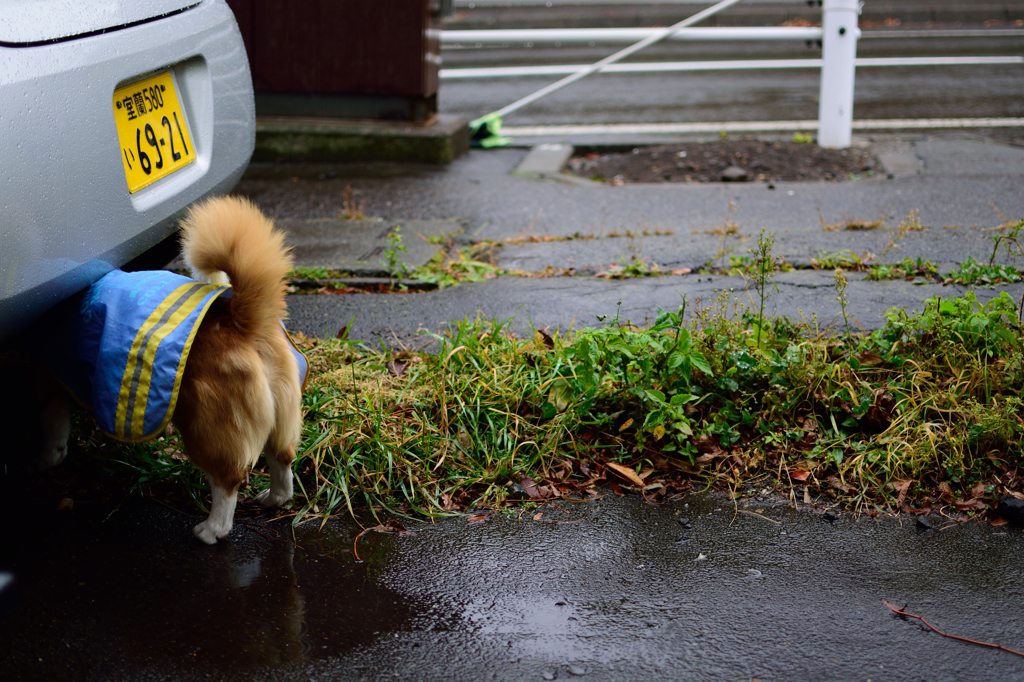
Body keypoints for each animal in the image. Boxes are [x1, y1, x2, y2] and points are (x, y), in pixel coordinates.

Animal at [35, 196, 303, 540]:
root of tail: (240, 323)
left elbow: (52, 427)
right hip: (279, 414)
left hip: (206, 428)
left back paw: (211, 530)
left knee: (227, 481)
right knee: (282, 459)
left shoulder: (47, 382)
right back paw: (272, 499)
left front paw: (45, 459)